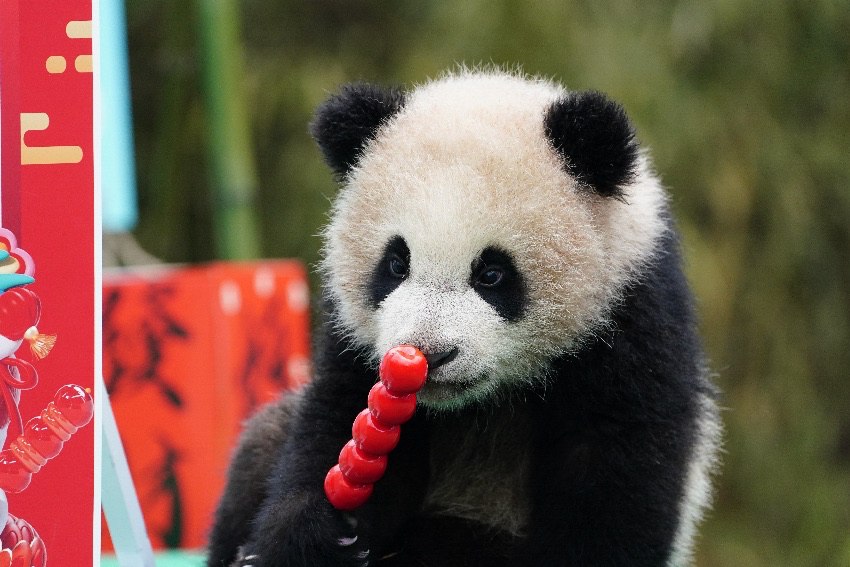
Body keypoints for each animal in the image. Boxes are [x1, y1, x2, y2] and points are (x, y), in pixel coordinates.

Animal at [209, 69, 720, 564]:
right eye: (396, 264)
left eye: (491, 274)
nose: (429, 354)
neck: (477, 405)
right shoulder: (355, 345)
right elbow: (334, 423)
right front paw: (311, 535)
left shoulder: (631, 319)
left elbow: (613, 477)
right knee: (263, 441)